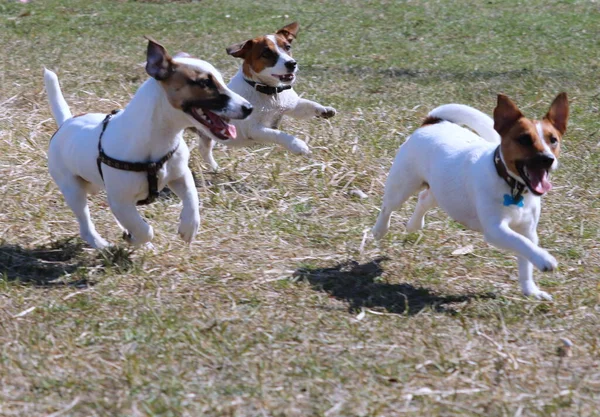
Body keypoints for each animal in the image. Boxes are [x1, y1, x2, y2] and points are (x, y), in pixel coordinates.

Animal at [45, 38, 252, 247]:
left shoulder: (180, 175)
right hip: (73, 190)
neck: (158, 139)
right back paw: (102, 245)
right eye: (204, 83)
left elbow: (192, 197)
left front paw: (189, 227)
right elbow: (144, 230)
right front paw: (136, 239)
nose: (249, 108)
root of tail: (66, 122)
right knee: (85, 225)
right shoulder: (121, 203)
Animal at [197, 22, 338, 169]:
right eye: (266, 53)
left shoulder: (293, 106)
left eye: (288, 47)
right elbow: (277, 134)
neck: (270, 92)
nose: (292, 63)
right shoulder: (254, 130)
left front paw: (325, 109)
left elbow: (308, 105)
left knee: (204, 148)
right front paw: (296, 144)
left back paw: (215, 168)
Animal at [372, 93, 568, 300]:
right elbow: (520, 242)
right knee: (387, 208)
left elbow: (525, 257)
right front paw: (545, 259)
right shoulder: (495, 230)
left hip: (442, 191)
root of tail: (432, 122)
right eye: (524, 139)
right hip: (403, 185)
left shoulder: (528, 230)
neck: (511, 185)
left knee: (424, 199)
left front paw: (530, 290)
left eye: (553, 140)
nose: (548, 159)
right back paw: (380, 230)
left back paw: (414, 225)